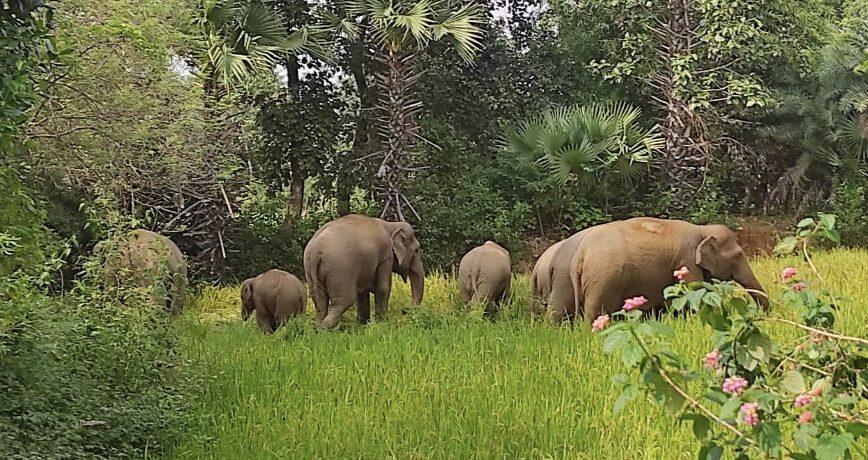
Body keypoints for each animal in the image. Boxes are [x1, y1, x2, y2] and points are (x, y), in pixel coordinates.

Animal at [570, 217, 769, 323]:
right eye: (738, 256)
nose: (761, 315)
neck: (703, 230)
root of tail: (580, 254)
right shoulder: (687, 262)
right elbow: (695, 295)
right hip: (603, 281)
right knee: (597, 313)